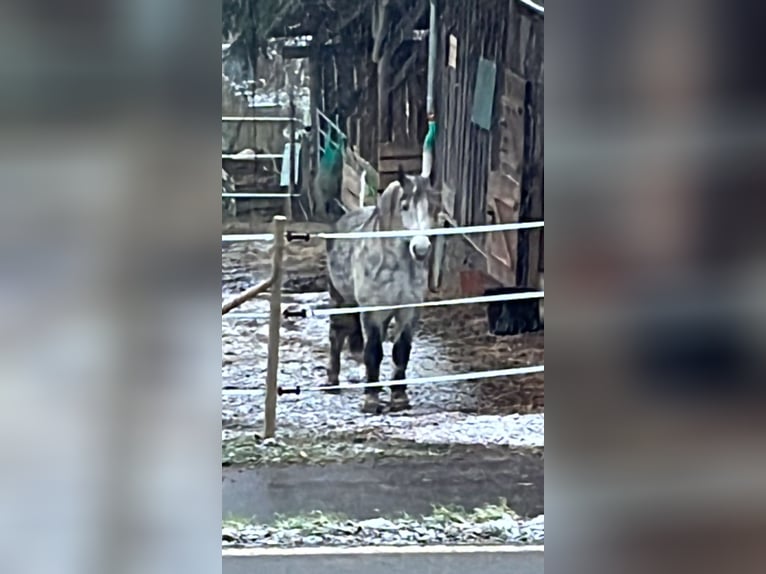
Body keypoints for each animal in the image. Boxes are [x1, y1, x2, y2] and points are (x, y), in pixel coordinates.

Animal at [324, 169, 436, 416]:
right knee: (337, 335)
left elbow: (400, 350)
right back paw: (332, 382)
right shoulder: (372, 312)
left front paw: (399, 397)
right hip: (341, 300)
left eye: (432, 206)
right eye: (404, 206)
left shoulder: (408, 311)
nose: (421, 249)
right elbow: (373, 352)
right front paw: (371, 400)